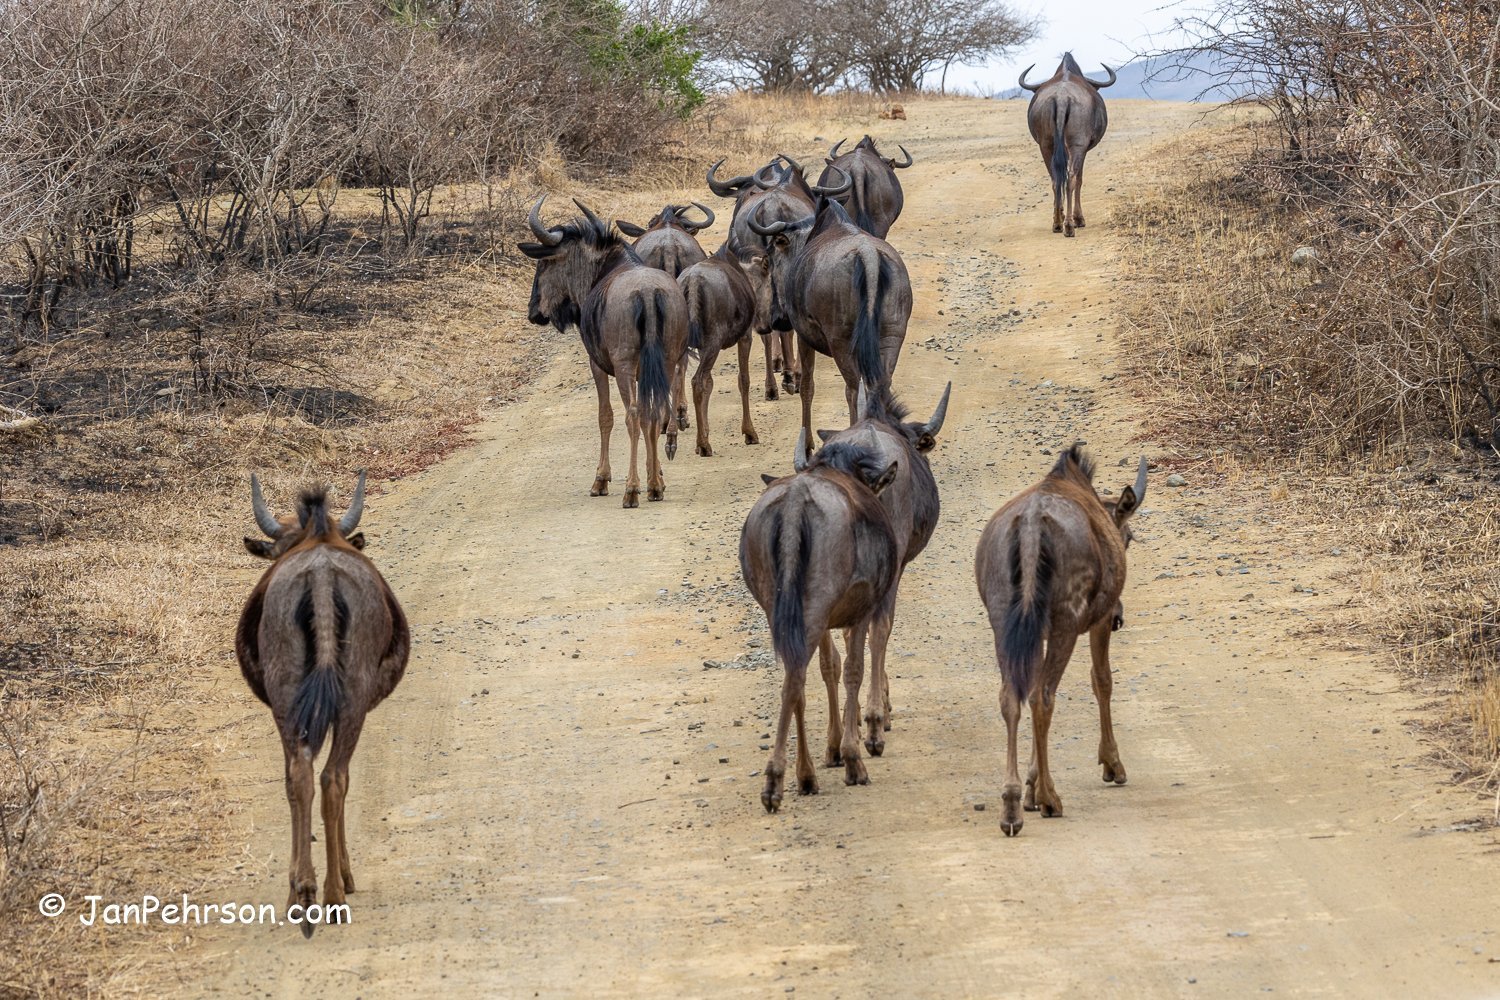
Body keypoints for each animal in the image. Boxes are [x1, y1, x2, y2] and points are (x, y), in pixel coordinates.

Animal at [236, 471, 410, 936]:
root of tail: (320, 575)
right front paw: (345, 874)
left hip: (287, 697)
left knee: (299, 776)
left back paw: (304, 893)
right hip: (351, 702)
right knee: (333, 779)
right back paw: (332, 895)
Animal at [975, 447, 1146, 836]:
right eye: (1128, 538)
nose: (1120, 616)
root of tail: (1030, 527)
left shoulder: (1034, 631)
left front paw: (1029, 789)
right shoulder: (1097, 619)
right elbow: (1102, 681)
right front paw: (1111, 763)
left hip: (1002, 618)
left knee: (1012, 697)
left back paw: (1011, 805)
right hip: (1067, 618)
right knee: (1044, 696)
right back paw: (1051, 798)